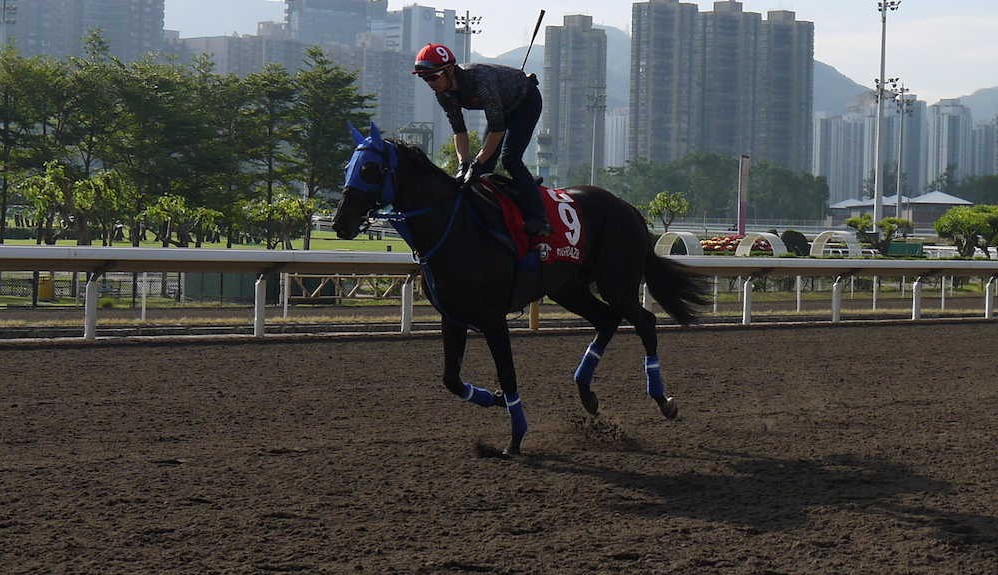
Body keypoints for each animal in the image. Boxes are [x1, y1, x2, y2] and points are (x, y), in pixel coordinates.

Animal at [336, 124, 712, 456]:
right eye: (348, 167)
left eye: (369, 168)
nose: (340, 222)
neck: (455, 228)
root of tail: (629, 208)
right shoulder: (453, 317)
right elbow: (451, 379)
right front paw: (494, 398)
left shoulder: (492, 318)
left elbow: (508, 374)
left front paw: (515, 439)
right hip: (568, 288)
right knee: (606, 320)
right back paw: (587, 395)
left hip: (616, 282)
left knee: (644, 321)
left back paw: (663, 401)